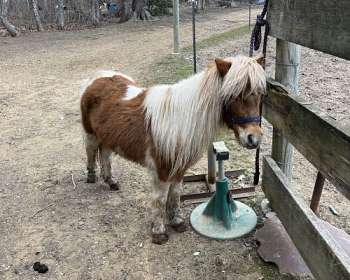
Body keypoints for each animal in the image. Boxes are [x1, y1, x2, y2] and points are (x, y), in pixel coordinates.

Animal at [79, 54, 266, 243]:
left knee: (105, 154)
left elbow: (175, 195)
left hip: (108, 137)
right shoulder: (161, 170)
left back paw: (111, 181)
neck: (180, 121)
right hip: (91, 134)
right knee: (91, 152)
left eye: (260, 94)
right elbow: (160, 199)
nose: (254, 138)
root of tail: (98, 77)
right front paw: (158, 232)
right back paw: (91, 176)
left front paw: (176, 222)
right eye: (234, 95)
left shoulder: (179, 169)